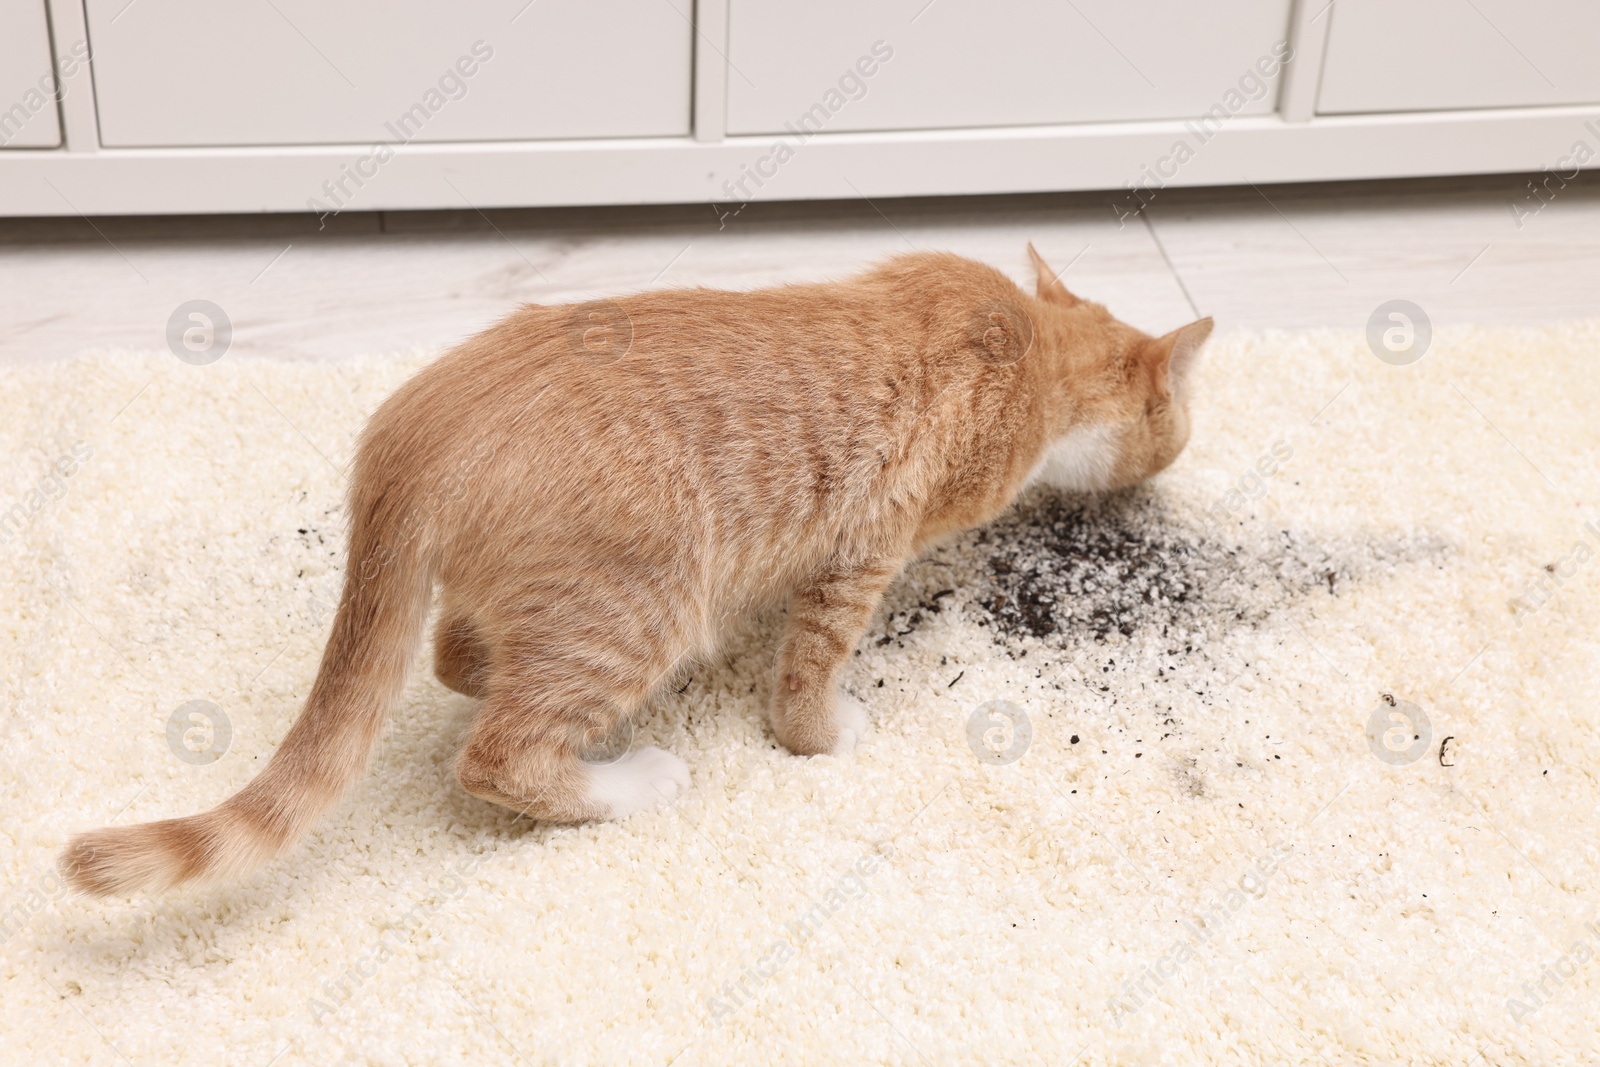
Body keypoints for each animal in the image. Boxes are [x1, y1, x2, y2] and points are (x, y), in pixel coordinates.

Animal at [62, 246, 1209, 895]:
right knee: (499, 752)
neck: (1028, 345)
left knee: (457, 658)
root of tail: (410, 431)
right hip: (637, 608)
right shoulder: (863, 551)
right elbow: (809, 674)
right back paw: (627, 777)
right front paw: (821, 732)